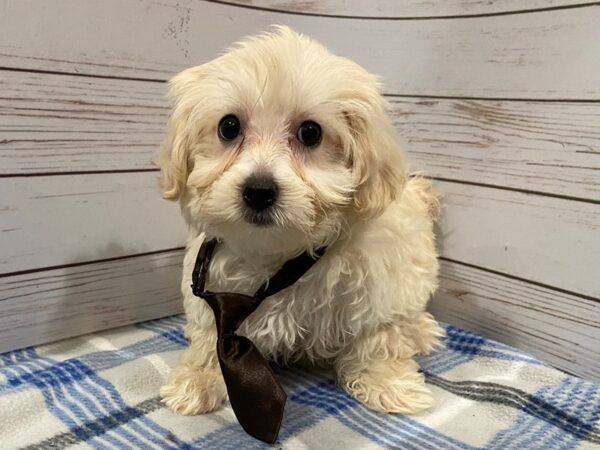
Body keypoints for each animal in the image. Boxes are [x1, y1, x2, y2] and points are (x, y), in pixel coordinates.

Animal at [157, 26, 442, 416]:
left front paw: (387, 384)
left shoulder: (382, 283)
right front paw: (197, 380)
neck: (280, 255)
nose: (259, 190)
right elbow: (208, 336)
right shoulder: (210, 284)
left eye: (311, 133)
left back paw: (423, 331)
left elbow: (377, 337)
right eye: (229, 127)